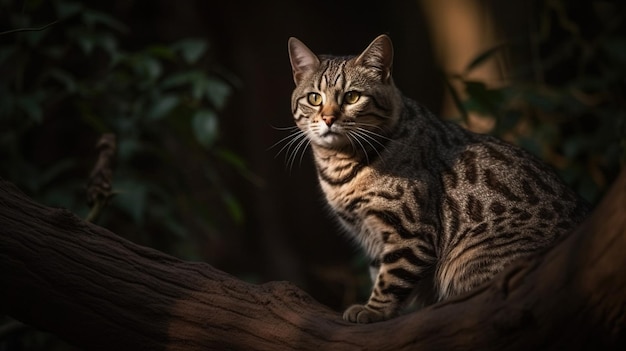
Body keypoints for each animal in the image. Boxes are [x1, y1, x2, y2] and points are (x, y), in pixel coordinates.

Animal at [286, 34, 588, 324]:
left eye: (351, 97)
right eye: (314, 98)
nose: (328, 118)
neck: (340, 166)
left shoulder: (410, 231)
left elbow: (390, 278)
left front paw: (374, 310)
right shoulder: (370, 237)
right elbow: (377, 271)